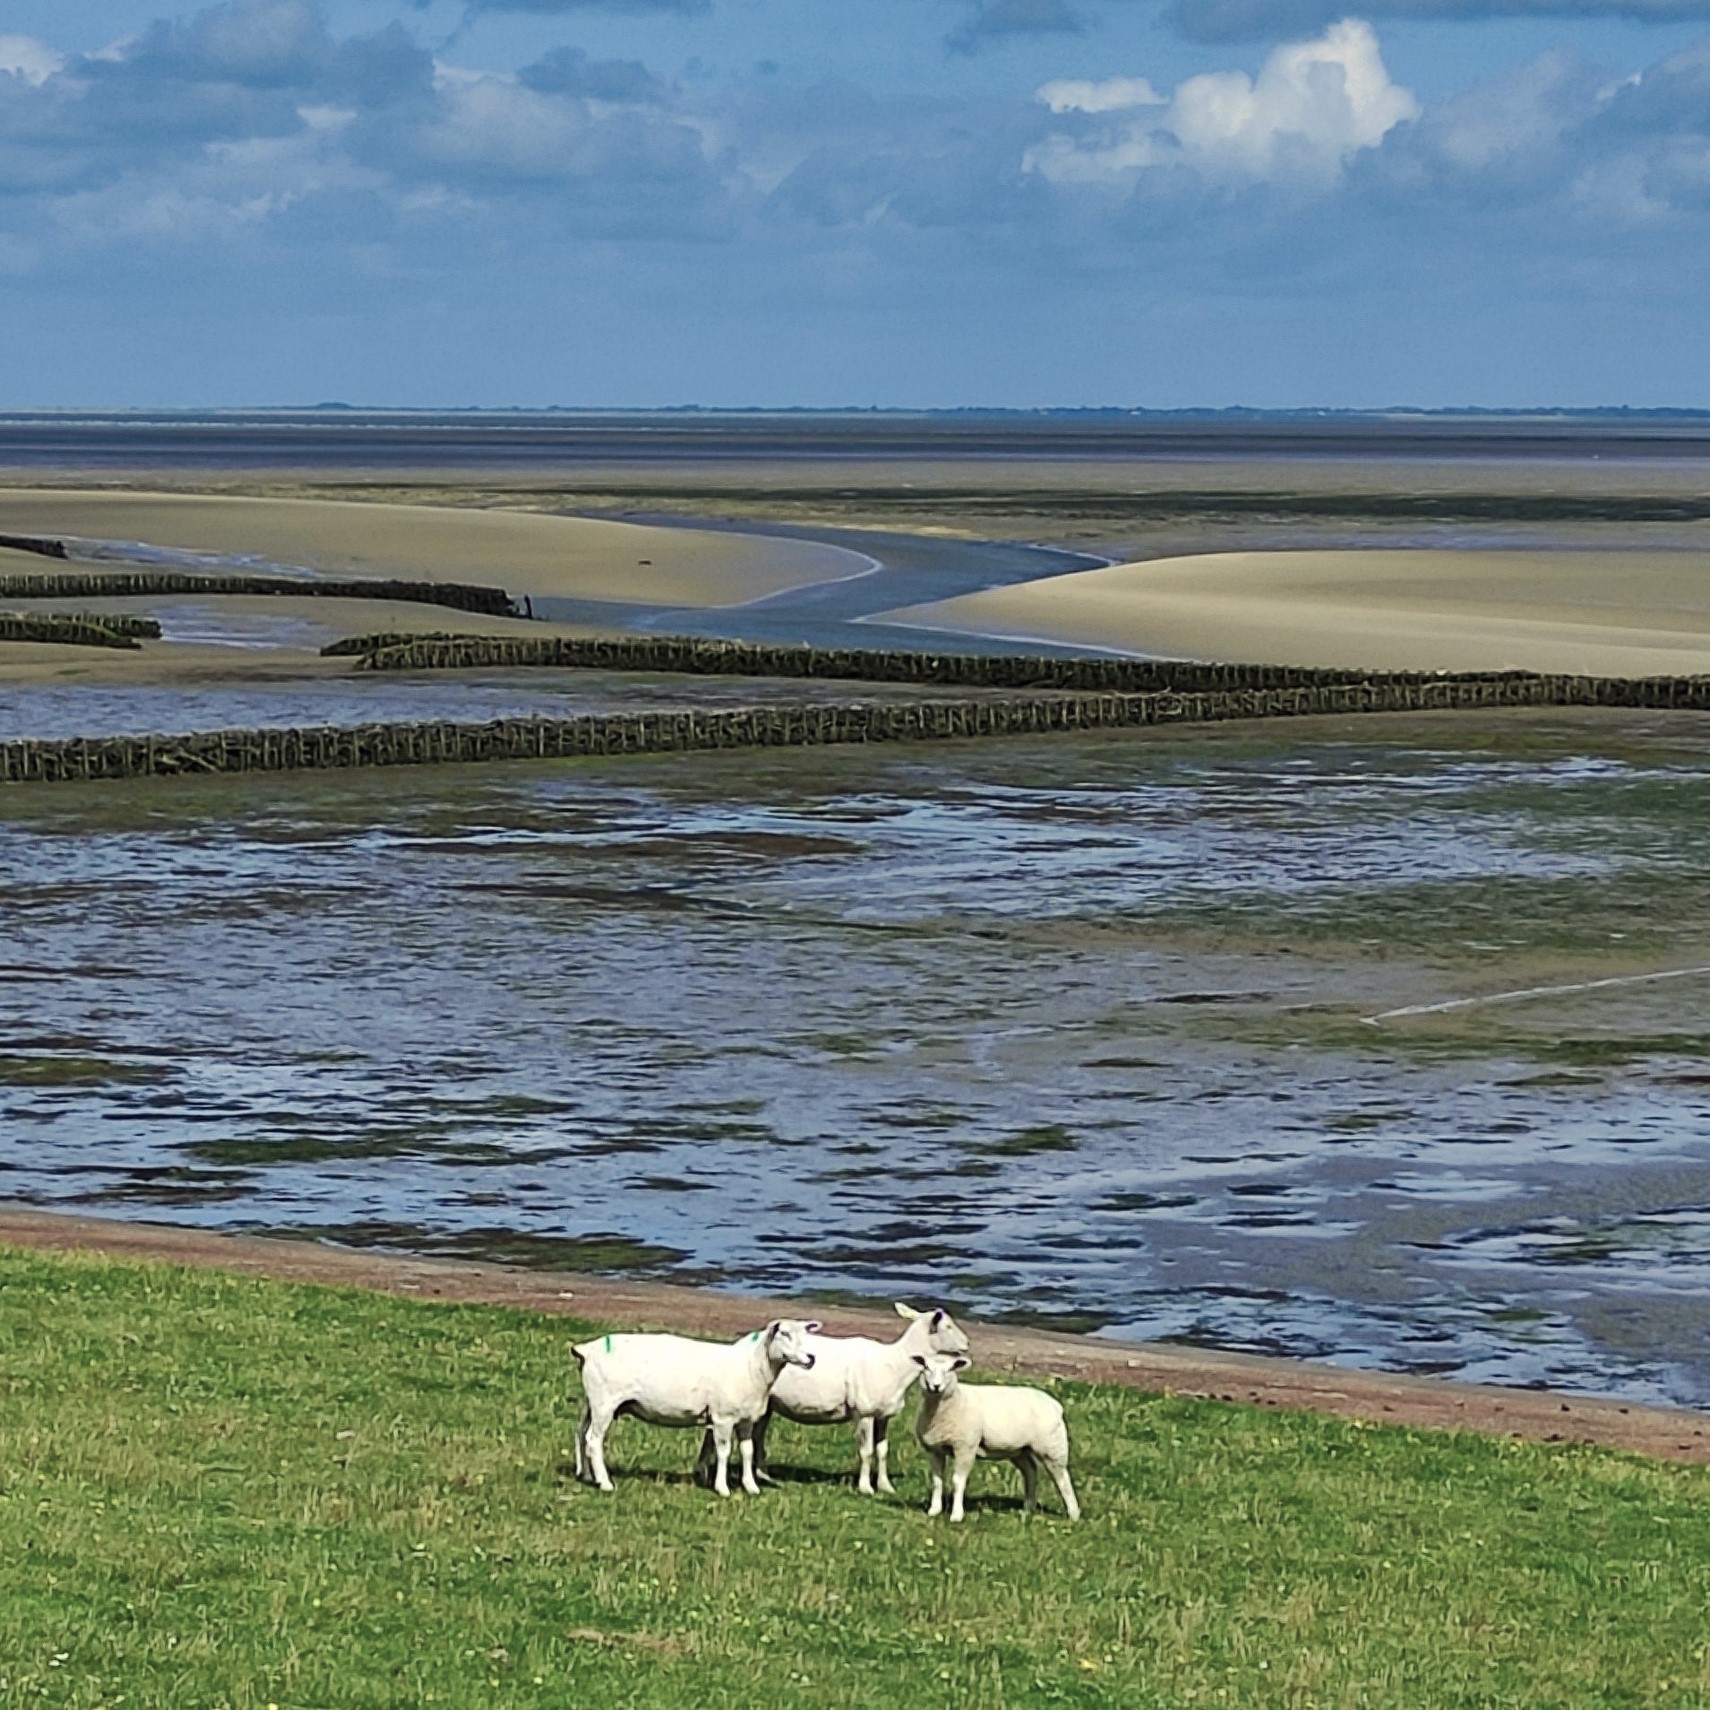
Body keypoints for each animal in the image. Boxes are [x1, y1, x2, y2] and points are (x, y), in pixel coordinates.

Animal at [571, 1320, 817, 1497]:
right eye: (785, 1334)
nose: (811, 1358)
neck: (752, 1367)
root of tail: (588, 1349)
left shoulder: (746, 1419)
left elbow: (747, 1451)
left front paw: (751, 1487)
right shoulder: (723, 1417)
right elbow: (724, 1452)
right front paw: (722, 1488)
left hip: (593, 1401)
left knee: (581, 1433)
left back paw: (586, 1475)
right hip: (605, 1402)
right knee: (594, 1440)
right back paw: (605, 1483)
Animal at [690, 1299, 964, 1491]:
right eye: (948, 1326)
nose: (966, 1344)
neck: (895, 1363)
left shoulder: (884, 1415)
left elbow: (883, 1450)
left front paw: (886, 1486)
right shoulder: (864, 1411)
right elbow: (866, 1451)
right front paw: (865, 1487)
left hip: (765, 1404)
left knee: (755, 1435)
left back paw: (761, 1474)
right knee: (715, 1432)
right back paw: (705, 1471)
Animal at [916, 1347, 1073, 1525]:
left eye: (950, 1369)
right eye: (926, 1367)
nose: (936, 1386)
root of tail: (1055, 1404)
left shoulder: (966, 1447)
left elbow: (958, 1481)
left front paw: (956, 1515)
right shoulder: (935, 1449)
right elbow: (937, 1480)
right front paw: (934, 1510)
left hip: (1051, 1446)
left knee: (1062, 1480)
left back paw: (1074, 1515)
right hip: (1019, 1450)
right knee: (1031, 1471)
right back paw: (1028, 1508)